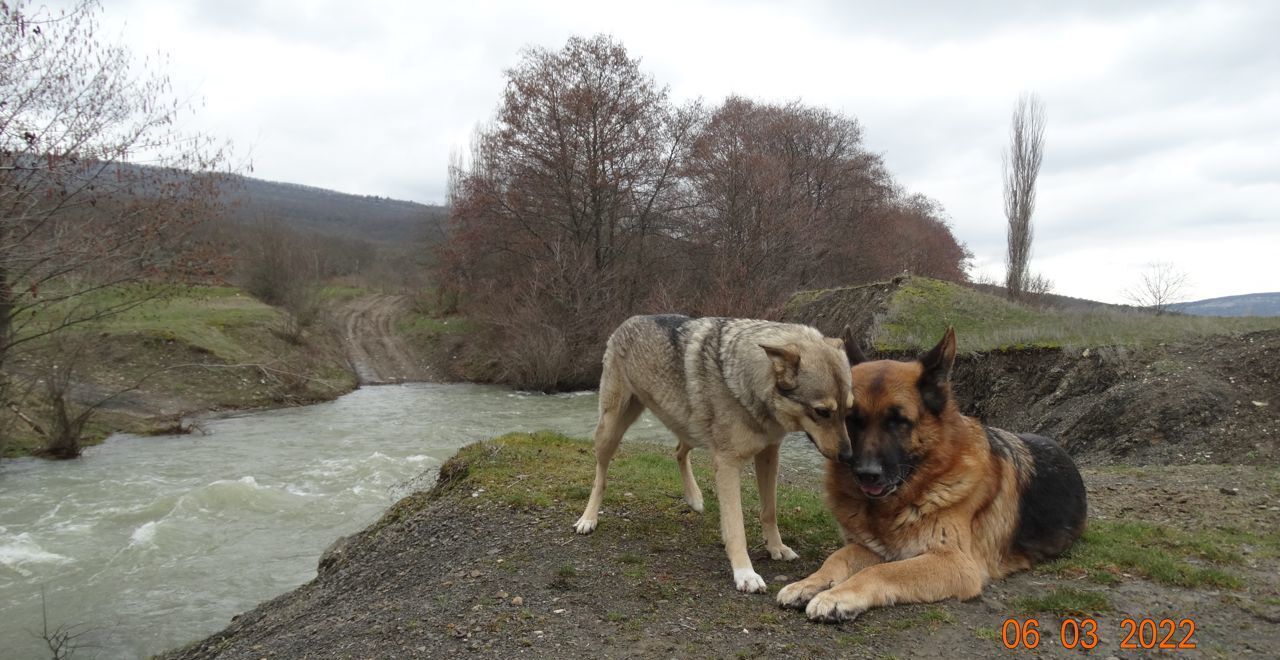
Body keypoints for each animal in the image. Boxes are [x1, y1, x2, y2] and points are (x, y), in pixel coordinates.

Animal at [570, 314, 849, 593]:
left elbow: (769, 510)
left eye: (848, 410)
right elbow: (735, 527)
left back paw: (693, 498)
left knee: (678, 452)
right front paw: (745, 573)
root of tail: (630, 320)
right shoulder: (728, 465)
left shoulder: (770, 454)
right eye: (822, 412)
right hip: (611, 429)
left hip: (689, 428)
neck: (746, 379)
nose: (847, 456)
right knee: (600, 477)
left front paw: (776, 548)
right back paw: (588, 518)